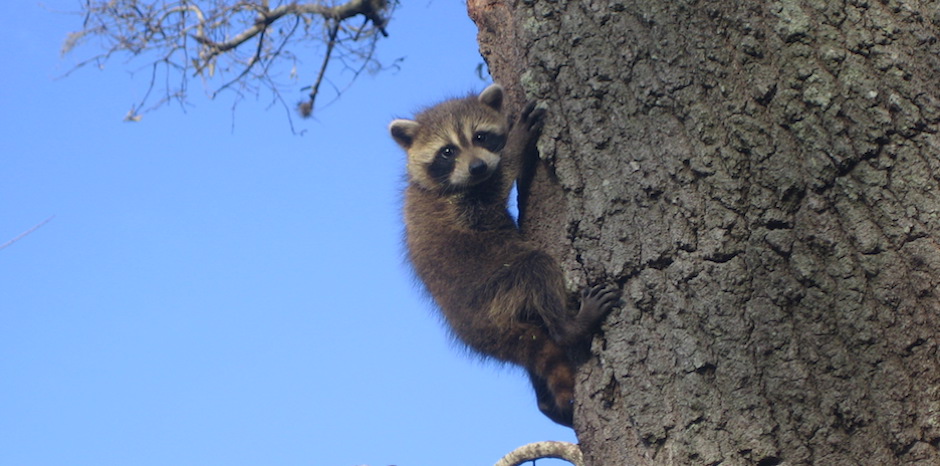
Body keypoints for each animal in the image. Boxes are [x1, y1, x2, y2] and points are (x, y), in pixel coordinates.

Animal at [389, 84, 619, 427]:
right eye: (448, 151)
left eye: (480, 136)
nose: (477, 167)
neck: (429, 185)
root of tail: (479, 331)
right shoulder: (460, 206)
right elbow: (496, 186)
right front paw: (516, 146)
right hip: (499, 286)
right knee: (537, 268)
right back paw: (570, 326)